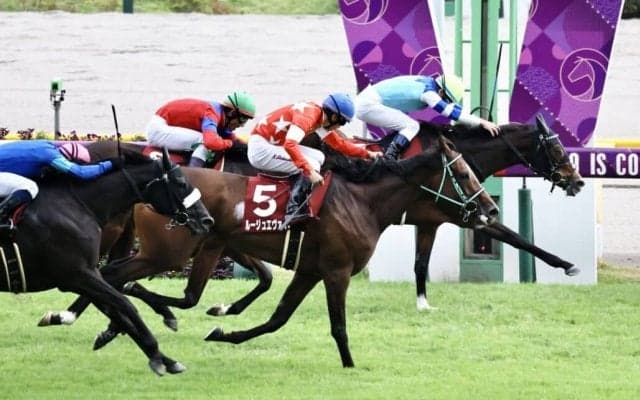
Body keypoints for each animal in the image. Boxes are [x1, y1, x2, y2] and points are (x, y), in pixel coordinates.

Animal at [1, 145, 213, 375]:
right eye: (181, 183)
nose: (207, 220)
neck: (77, 204)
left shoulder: (81, 277)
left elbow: (115, 310)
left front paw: (165, 358)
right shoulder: (78, 274)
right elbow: (126, 305)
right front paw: (156, 356)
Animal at [51, 132, 499, 367]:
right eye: (463, 173)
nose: (491, 210)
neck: (362, 201)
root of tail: (147, 186)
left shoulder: (309, 270)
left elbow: (277, 319)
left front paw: (224, 332)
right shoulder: (336, 270)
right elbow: (338, 325)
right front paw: (350, 365)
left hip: (201, 248)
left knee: (165, 291)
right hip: (169, 252)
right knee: (115, 278)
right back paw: (83, 318)